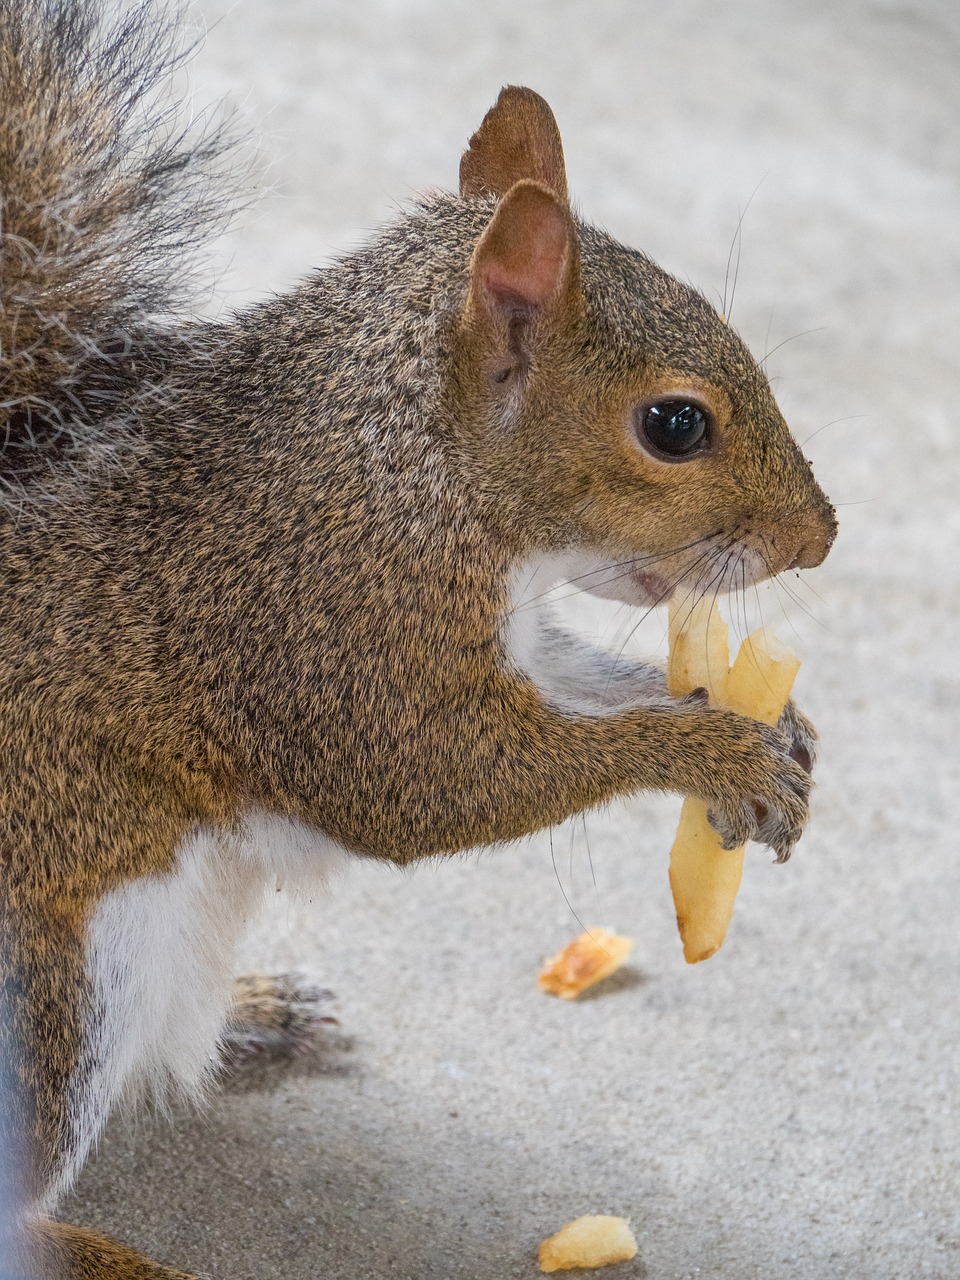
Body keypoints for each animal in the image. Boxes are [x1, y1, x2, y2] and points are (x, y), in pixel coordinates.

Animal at [0, 5, 839, 1274]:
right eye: (674, 424)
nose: (823, 536)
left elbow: (588, 680)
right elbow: (430, 782)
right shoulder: (337, 630)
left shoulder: (512, 633)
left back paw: (255, 1011)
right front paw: (713, 752)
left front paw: (770, 727)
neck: (413, 458)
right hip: (54, 990)